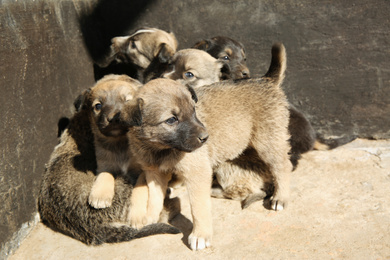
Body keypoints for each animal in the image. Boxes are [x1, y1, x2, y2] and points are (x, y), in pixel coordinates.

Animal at [123, 42, 290, 250]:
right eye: (171, 120)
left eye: (193, 111)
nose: (205, 137)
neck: (160, 147)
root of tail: (266, 80)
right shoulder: (154, 173)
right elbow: (154, 199)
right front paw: (150, 219)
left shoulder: (197, 173)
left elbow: (198, 207)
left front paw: (200, 235)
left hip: (268, 142)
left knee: (282, 167)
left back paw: (280, 197)